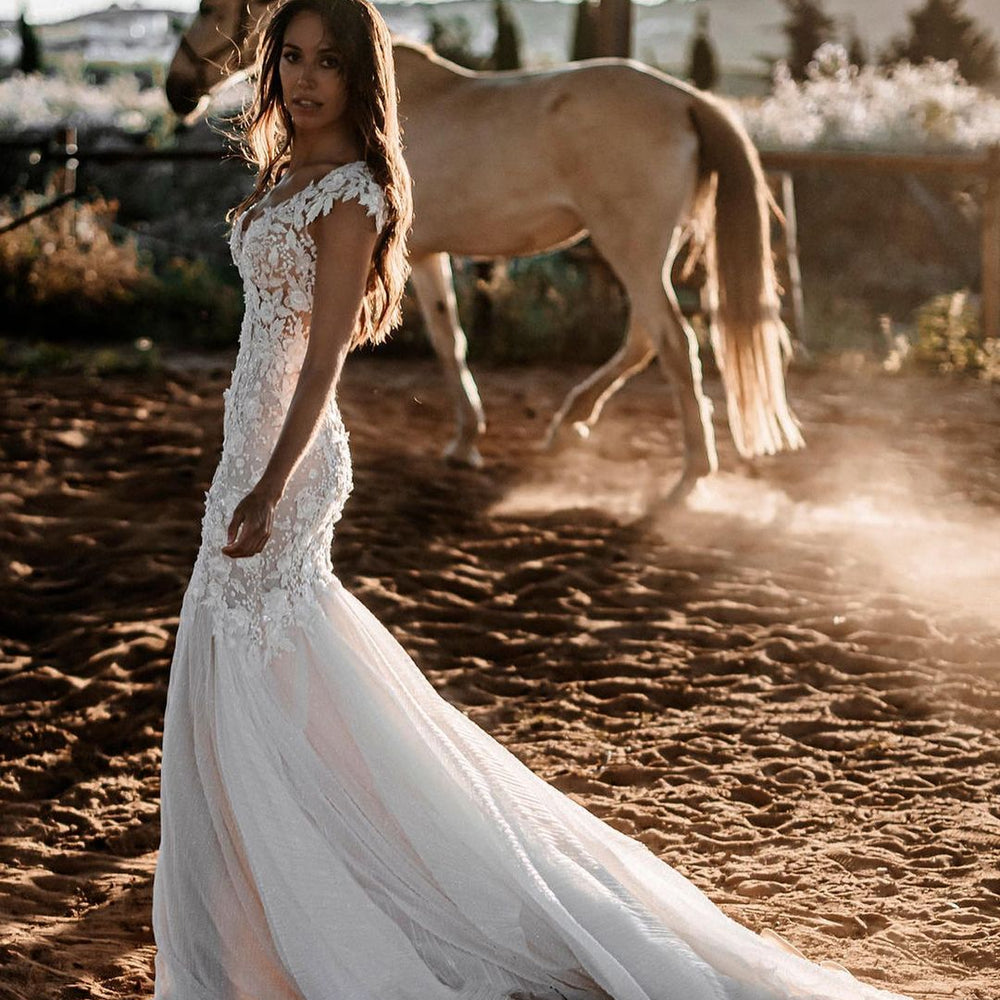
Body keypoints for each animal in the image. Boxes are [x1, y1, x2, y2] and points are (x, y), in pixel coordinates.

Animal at [166, 0, 804, 500]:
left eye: (208, 7)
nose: (177, 89)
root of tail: (687, 100)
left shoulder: (413, 256)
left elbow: (446, 342)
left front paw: (464, 439)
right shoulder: (427, 257)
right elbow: (453, 337)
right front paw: (468, 438)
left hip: (632, 249)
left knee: (672, 342)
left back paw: (691, 471)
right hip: (645, 255)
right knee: (645, 339)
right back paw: (571, 423)